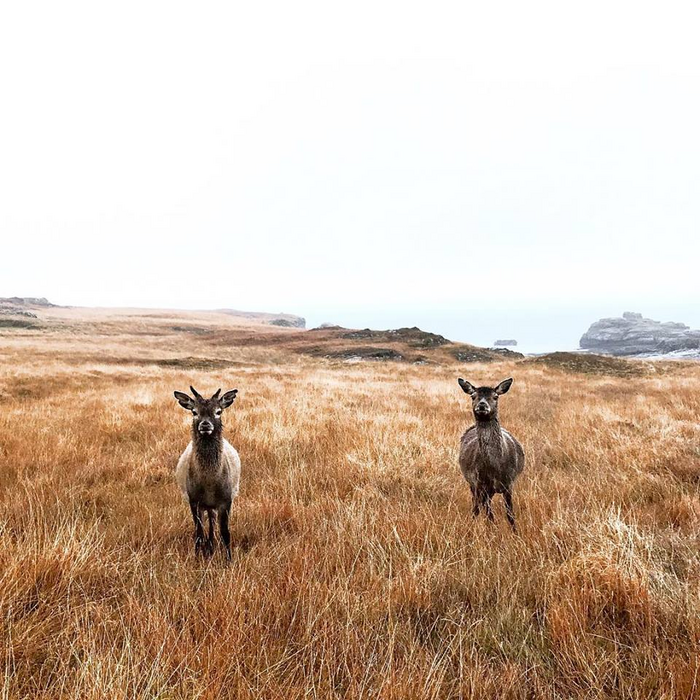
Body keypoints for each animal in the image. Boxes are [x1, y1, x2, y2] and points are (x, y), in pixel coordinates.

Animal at [174, 386, 240, 559]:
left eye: (218, 411)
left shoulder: (226, 499)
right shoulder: (193, 499)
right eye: (194, 412)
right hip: (204, 505)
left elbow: (225, 532)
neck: (209, 484)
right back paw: (208, 547)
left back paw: (211, 546)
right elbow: (198, 533)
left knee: (212, 521)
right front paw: (197, 557)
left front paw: (229, 559)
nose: (205, 425)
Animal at [457, 377, 524, 530]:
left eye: (495, 396)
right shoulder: (479, 482)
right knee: (480, 506)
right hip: (473, 484)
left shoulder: (508, 483)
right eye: (473, 396)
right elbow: (482, 512)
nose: (482, 405)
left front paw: (515, 532)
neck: (496, 468)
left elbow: (510, 514)